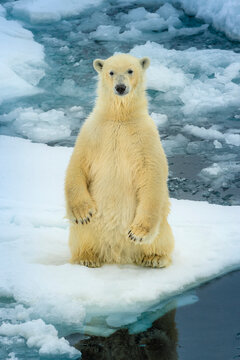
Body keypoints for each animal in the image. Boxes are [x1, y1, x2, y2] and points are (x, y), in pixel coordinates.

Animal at [65, 53, 174, 268]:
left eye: (130, 70)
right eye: (111, 72)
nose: (120, 87)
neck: (119, 118)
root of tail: (118, 255)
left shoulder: (146, 137)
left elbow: (152, 175)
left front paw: (137, 233)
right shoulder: (92, 132)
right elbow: (77, 165)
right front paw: (83, 213)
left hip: (163, 226)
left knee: (162, 236)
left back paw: (154, 258)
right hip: (88, 232)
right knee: (82, 235)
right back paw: (87, 258)